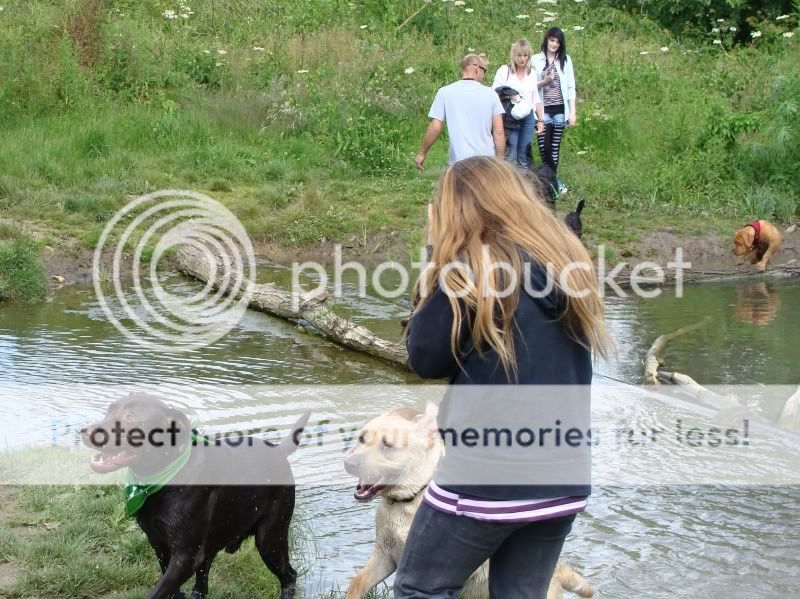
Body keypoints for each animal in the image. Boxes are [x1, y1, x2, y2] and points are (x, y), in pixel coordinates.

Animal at [81, 394, 306, 599]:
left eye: (131, 417)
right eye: (109, 411)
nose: (84, 432)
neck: (162, 479)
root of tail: (279, 451)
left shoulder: (185, 555)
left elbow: (158, 592)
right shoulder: (158, 542)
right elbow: (170, 588)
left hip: (270, 538)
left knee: (290, 575)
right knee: (204, 575)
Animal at [340, 408, 592, 599]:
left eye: (388, 445)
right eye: (361, 438)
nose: (349, 463)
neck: (407, 500)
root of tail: (557, 569)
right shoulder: (384, 554)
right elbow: (357, 582)